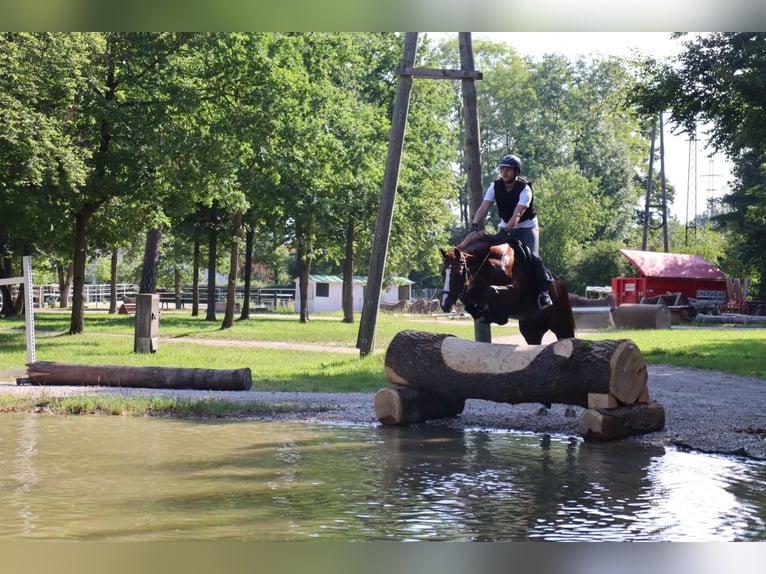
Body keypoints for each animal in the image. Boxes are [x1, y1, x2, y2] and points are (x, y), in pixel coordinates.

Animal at [438, 232, 576, 344]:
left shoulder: (514, 291)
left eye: (458, 272)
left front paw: (496, 316)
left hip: (562, 324)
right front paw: (481, 312)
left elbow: (491, 290)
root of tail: (561, 284)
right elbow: (467, 297)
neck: (489, 261)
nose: (445, 304)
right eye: (443, 273)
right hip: (531, 329)